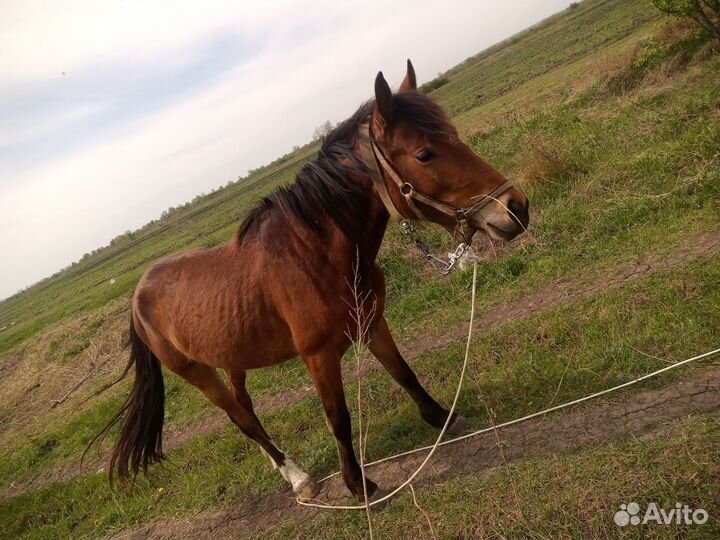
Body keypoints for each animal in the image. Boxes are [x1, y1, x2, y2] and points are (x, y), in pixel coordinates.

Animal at [106, 60, 529, 502]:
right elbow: (338, 417)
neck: (317, 257)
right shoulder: (318, 357)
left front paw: (443, 418)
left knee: (246, 408)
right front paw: (357, 485)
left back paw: (282, 468)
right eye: (425, 154)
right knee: (241, 419)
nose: (516, 208)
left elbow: (404, 373)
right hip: (196, 372)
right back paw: (299, 479)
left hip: (231, 358)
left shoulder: (372, 324)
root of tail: (138, 296)